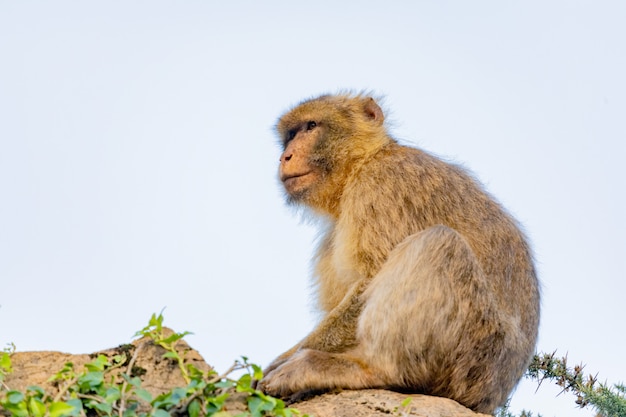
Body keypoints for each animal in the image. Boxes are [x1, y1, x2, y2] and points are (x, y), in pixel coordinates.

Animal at [256, 92, 540, 414]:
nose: (285, 157)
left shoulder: (382, 185)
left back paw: (370, 370)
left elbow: (370, 279)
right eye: (289, 136)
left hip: (474, 357)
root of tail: (489, 398)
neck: (363, 163)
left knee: (439, 244)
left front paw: (281, 362)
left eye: (311, 126)